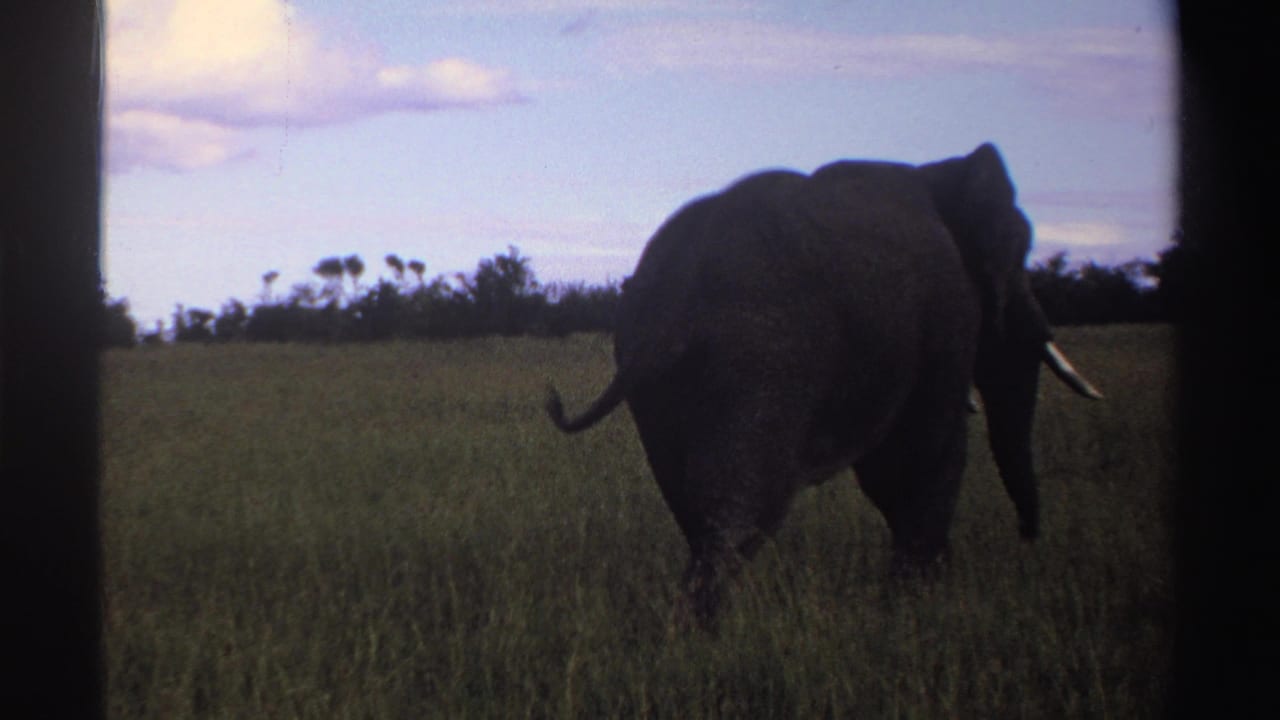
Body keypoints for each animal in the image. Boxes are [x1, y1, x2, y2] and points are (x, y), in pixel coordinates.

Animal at [546, 143, 1102, 627]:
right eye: (1020, 254)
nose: (1029, 536)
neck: (942, 173)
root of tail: (671, 296)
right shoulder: (948, 312)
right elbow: (923, 456)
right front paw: (918, 606)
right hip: (762, 357)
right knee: (742, 511)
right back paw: (701, 636)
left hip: (660, 383)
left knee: (694, 504)